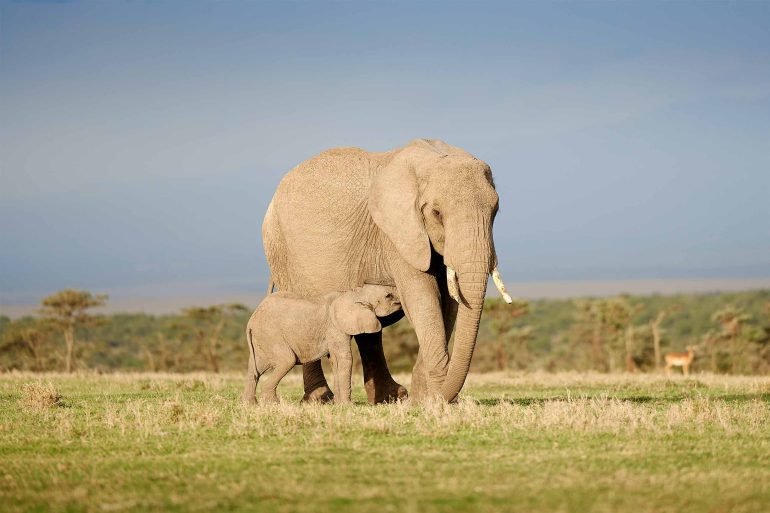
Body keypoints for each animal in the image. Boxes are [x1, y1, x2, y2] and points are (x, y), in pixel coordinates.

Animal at [241, 285, 402, 404]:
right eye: (388, 296)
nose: (400, 303)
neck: (355, 293)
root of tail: (251, 319)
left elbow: (335, 361)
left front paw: (338, 404)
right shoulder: (335, 327)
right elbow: (344, 358)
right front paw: (348, 405)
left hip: (262, 339)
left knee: (255, 369)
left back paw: (249, 404)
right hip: (271, 334)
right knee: (286, 361)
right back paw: (272, 403)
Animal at [262, 138, 512, 403]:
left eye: (495, 211)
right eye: (437, 213)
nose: (445, 397)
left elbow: (448, 303)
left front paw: (424, 399)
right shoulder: (396, 233)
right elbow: (423, 299)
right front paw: (435, 401)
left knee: (369, 328)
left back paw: (390, 397)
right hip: (281, 250)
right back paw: (320, 400)